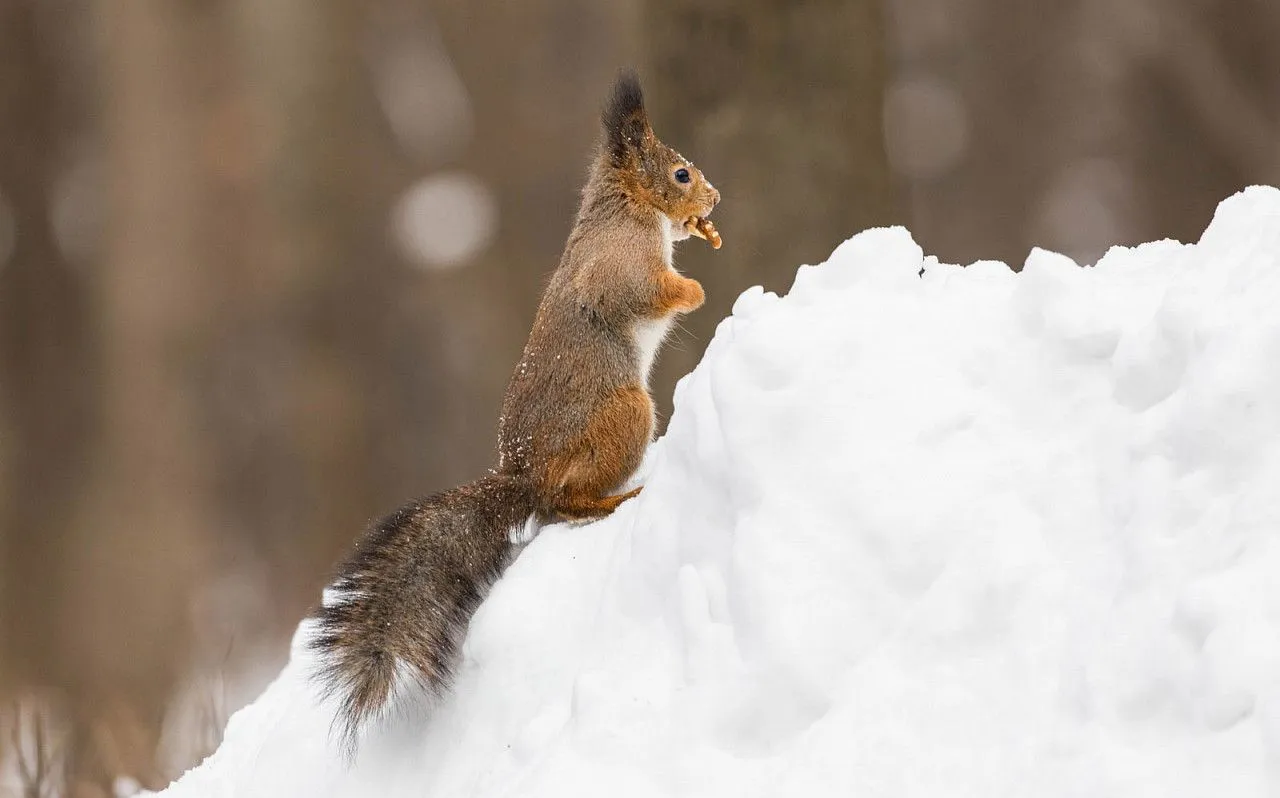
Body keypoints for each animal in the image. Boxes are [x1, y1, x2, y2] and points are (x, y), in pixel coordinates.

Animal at [304, 70, 716, 753]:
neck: (624, 208)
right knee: (565, 506)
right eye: (680, 174)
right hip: (625, 415)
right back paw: (611, 499)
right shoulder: (622, 260)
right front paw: (696, 290)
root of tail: (526, 477)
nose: (713, 197)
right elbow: (641, 291)